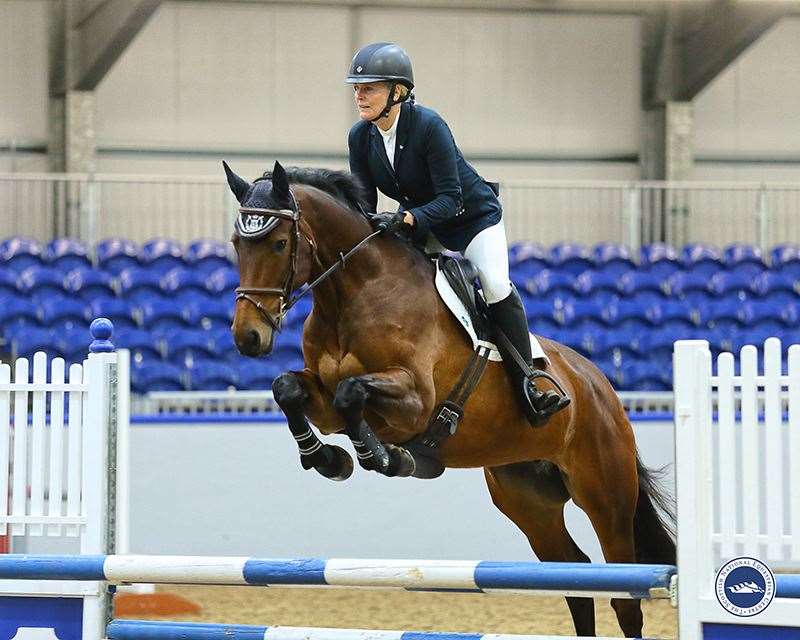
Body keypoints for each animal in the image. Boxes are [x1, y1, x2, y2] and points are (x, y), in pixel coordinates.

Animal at [225, 161, 676, 640]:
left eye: (278, 243)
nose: (248, 336)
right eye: (237, 243)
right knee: (574, 577)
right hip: (529, 501)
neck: (355, 292)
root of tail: (600, 385)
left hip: (606, 496)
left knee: (623, 593)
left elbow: (353, 393)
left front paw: (384, 457)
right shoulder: (326, 404)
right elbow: (288, 389)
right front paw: (328, 459)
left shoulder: (415, 400)